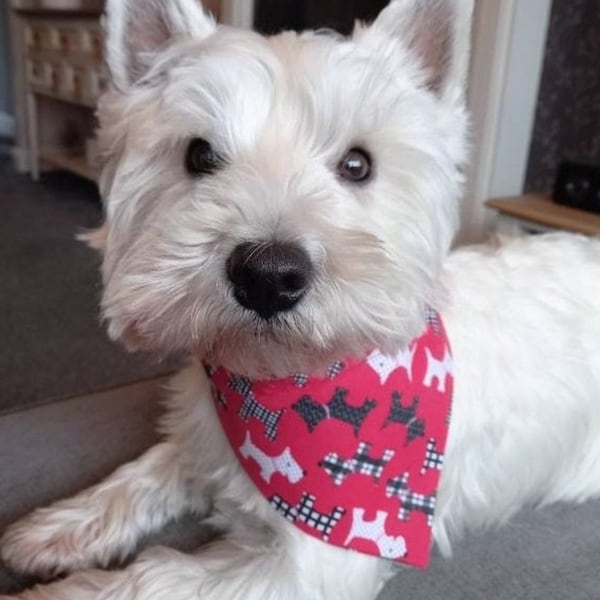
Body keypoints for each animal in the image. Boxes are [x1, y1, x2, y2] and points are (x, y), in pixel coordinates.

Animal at [1, 0, 600, 596]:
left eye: (358, 164)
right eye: (199, 155)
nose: (268, 276)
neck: (280, 384)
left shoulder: (315, 561)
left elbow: (155, 576)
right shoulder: (205, 440)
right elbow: (148, 467)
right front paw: (56, 527)